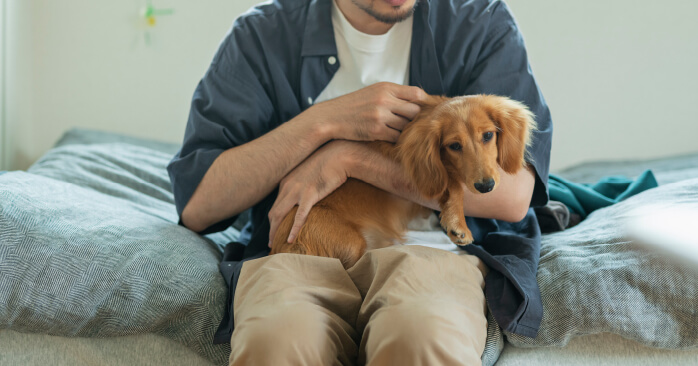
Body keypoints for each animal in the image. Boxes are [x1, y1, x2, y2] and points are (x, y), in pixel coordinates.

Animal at [270, 94, 536, 266]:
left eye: (489, 135)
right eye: (454, 146)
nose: (486, 186)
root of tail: (281, 249)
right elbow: (451, 179)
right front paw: (457, 221)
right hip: (349, 243)